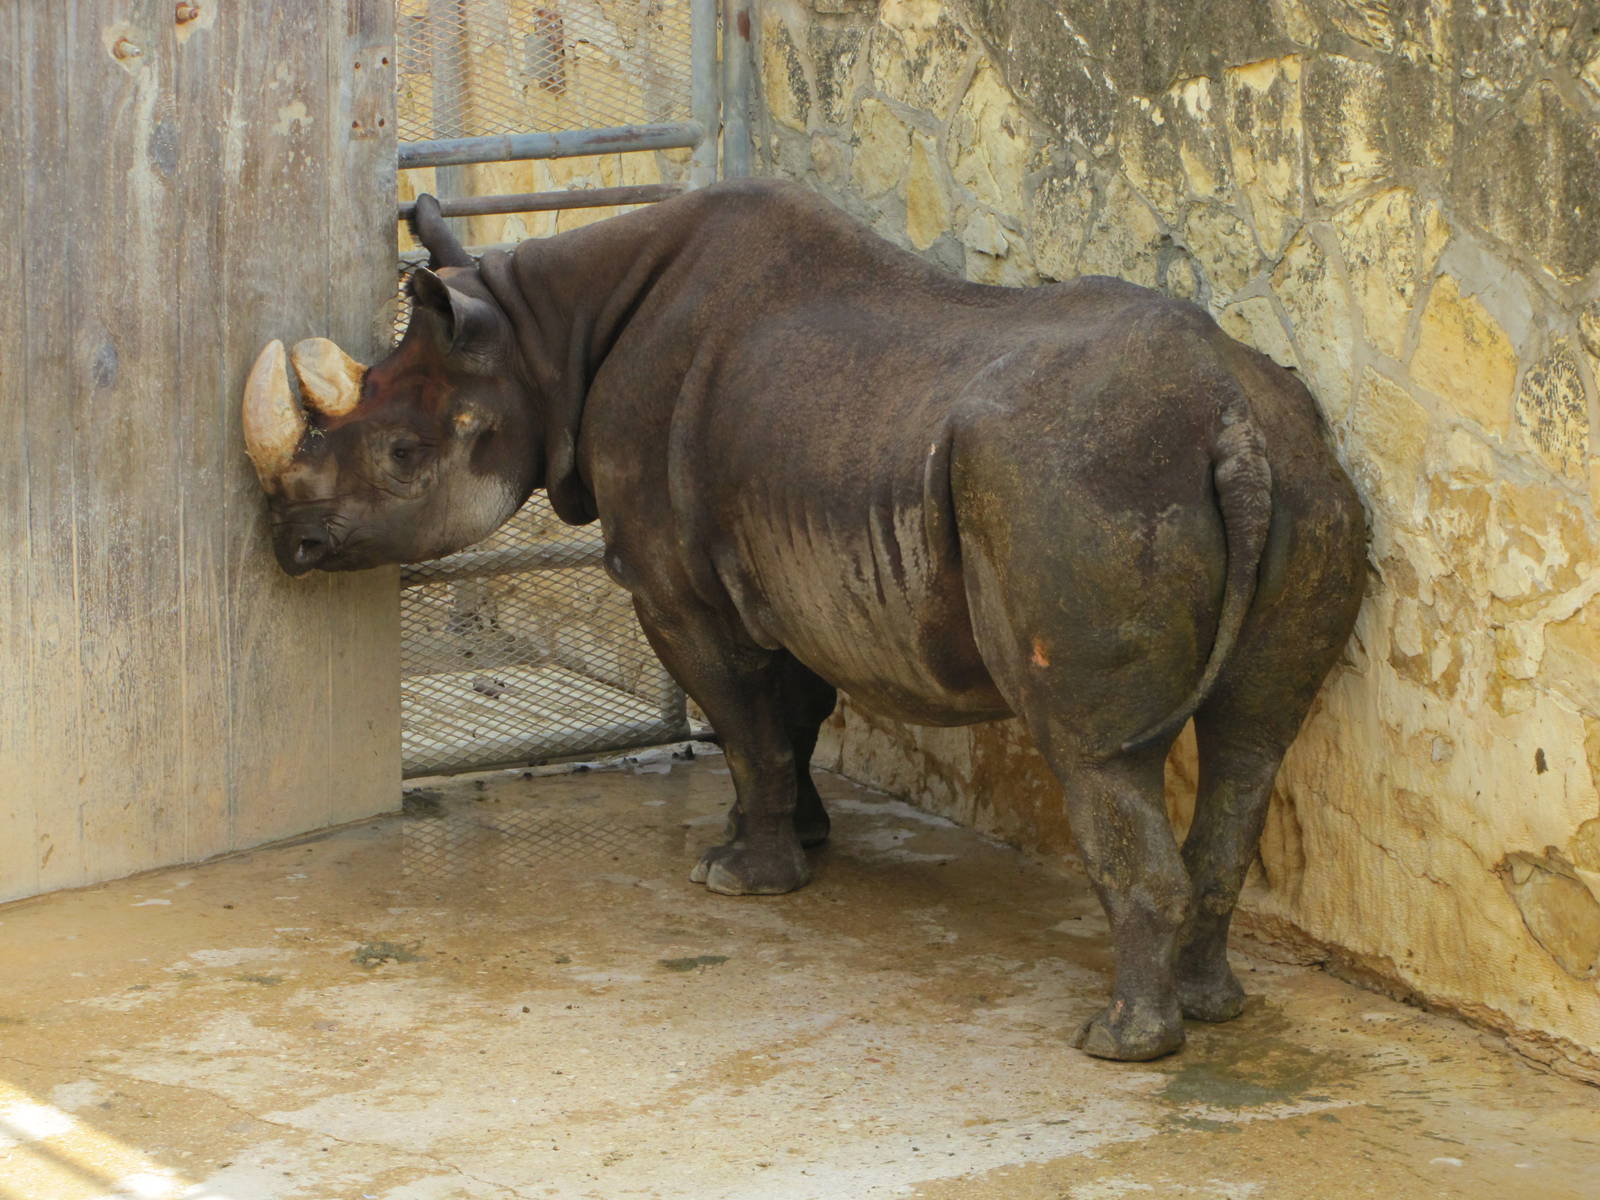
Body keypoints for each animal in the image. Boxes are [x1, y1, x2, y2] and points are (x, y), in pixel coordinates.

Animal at [242, 180, 1366, 1061]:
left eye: (397, 455)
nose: (288, 542)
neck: (537, 340)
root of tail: (1225, 419)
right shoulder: (791, 560)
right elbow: (789, 715)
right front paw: (797, 840)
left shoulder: (676, 586)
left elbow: (744, 722)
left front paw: (742, 879)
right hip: (1305, 475)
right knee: (1252, 741)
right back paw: (1212, 1010)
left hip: (1080, 486)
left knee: (1097, 754)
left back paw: (1121, 1043)